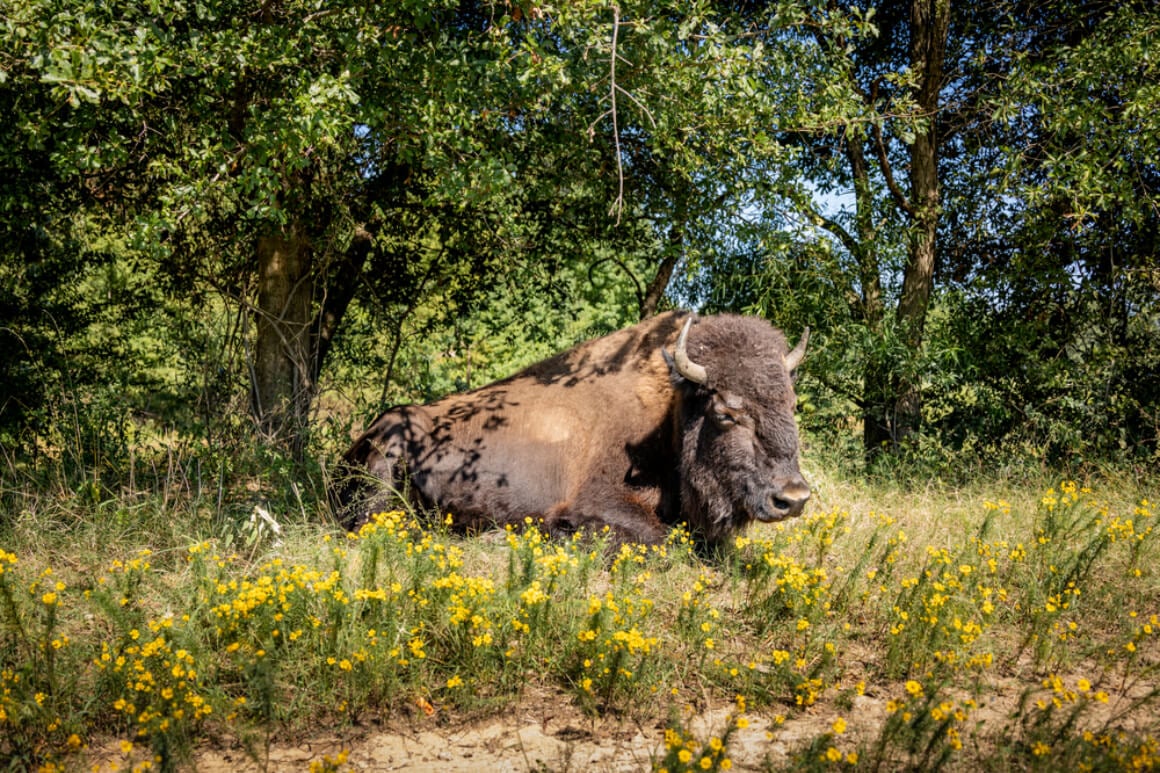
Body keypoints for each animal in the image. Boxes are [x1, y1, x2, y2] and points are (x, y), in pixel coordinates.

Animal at [331, 311, 812, 545]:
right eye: (726, 412)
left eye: (790, 403)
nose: (793, 498)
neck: (669, 411)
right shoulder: (599, 502)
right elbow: (659, 539)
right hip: (387, 463)